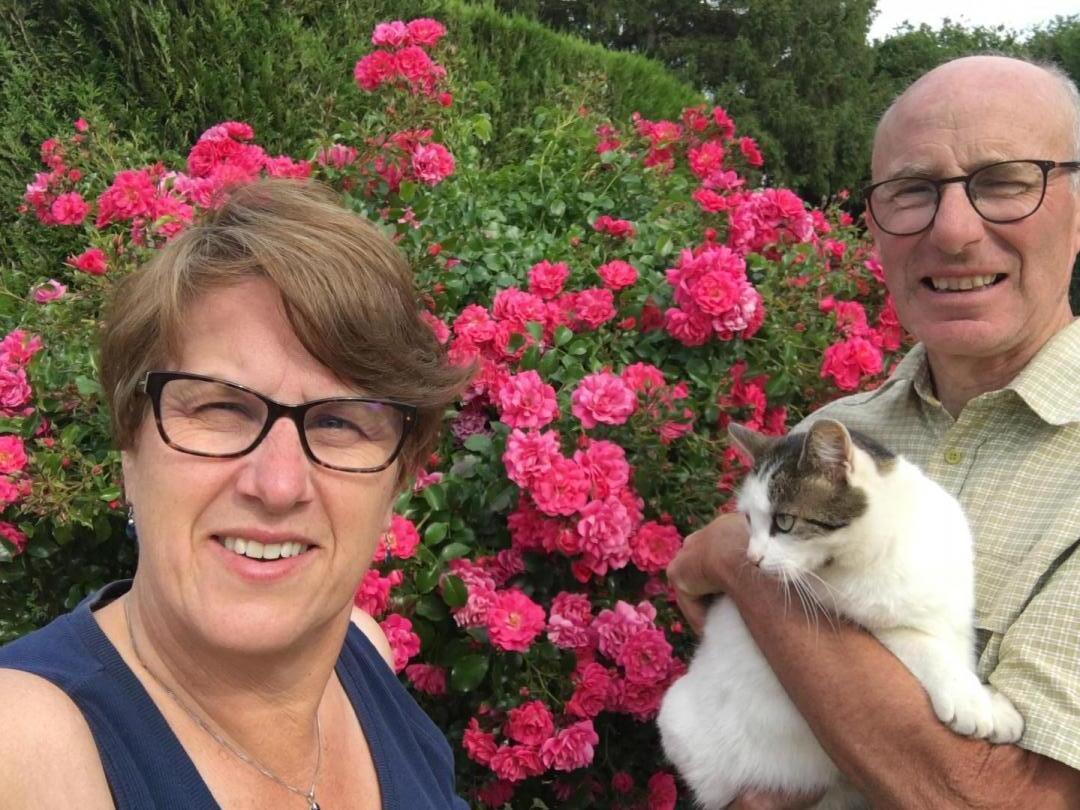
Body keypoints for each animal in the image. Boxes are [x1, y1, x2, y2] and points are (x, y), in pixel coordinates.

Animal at [657, 418, 1024, 810]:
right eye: (748, 520)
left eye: (784, 521)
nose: (753, 559)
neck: (891, 541)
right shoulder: (872, 621)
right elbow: (925, 647)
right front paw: (970, 701)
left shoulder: (955, 613)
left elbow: (958, 648)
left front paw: (993, 705)